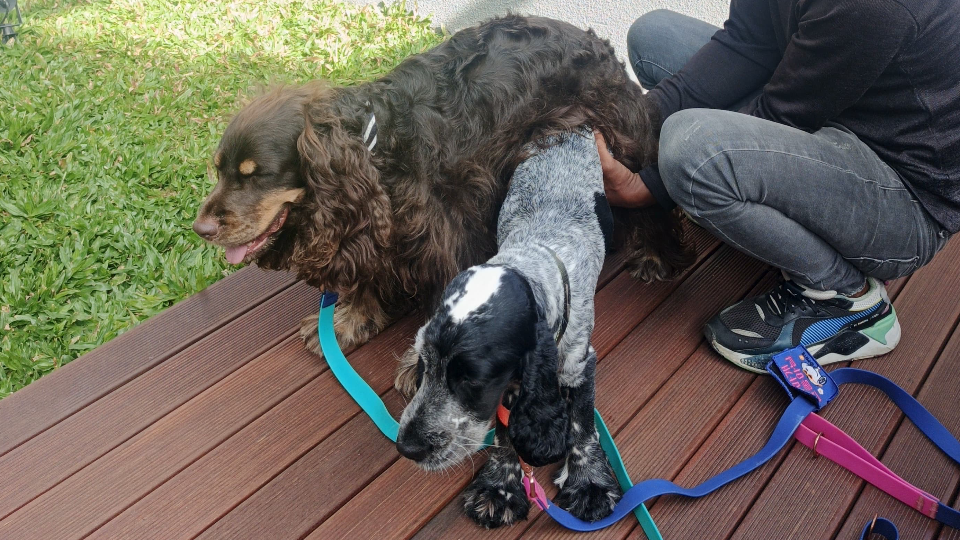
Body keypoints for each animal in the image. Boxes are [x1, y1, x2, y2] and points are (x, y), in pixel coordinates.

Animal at [192, 15, 691, 371]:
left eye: (255, 174)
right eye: (219, 170)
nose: (202, 228)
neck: (372, 146)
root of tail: (601, 46)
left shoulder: (445, 230)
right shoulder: (377, 223)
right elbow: (370, 272)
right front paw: (352, 319)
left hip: (623, 137)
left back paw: (652, 254)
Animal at [395, 130, 620, 528]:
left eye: (471, 379)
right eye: (424, 364)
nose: (408, 447)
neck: (534, 258)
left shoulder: (578, 362)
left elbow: (581, 421)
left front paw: (589, 484)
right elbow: (503, 431)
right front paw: (500, 488)